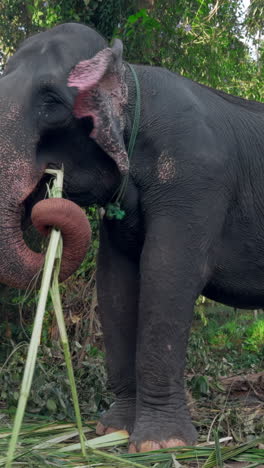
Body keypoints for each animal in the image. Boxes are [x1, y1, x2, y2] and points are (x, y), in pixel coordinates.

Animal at [0, 22, 264, 454]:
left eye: (52, 103)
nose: (45, 193)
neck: (130, 75)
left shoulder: (193, 177)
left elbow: (166, 272)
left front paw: (162, 445)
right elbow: (116, 281)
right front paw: (112, 431)